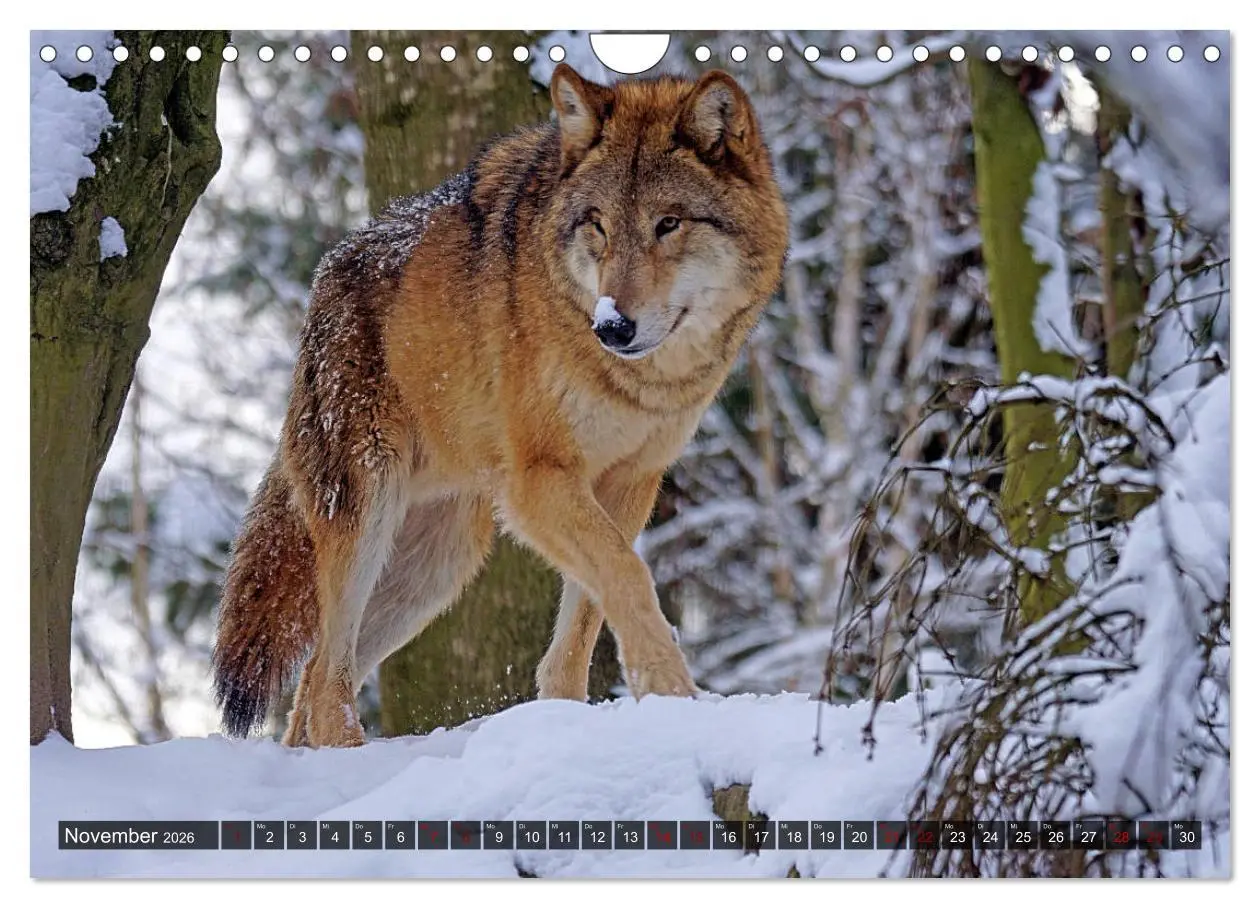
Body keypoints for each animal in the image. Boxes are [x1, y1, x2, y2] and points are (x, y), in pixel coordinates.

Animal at [212, 63, 789, 747]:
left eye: (669, 224)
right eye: (597, 224)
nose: (612, 326)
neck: (639, 382)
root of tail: (323, 280)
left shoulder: (630, 484)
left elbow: (582, 626)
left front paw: (573, 720)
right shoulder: (538, 481)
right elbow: (628, 576)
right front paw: (672, 697)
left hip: (438, 567)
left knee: (314, 680)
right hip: (370, 516)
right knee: (327, 676)